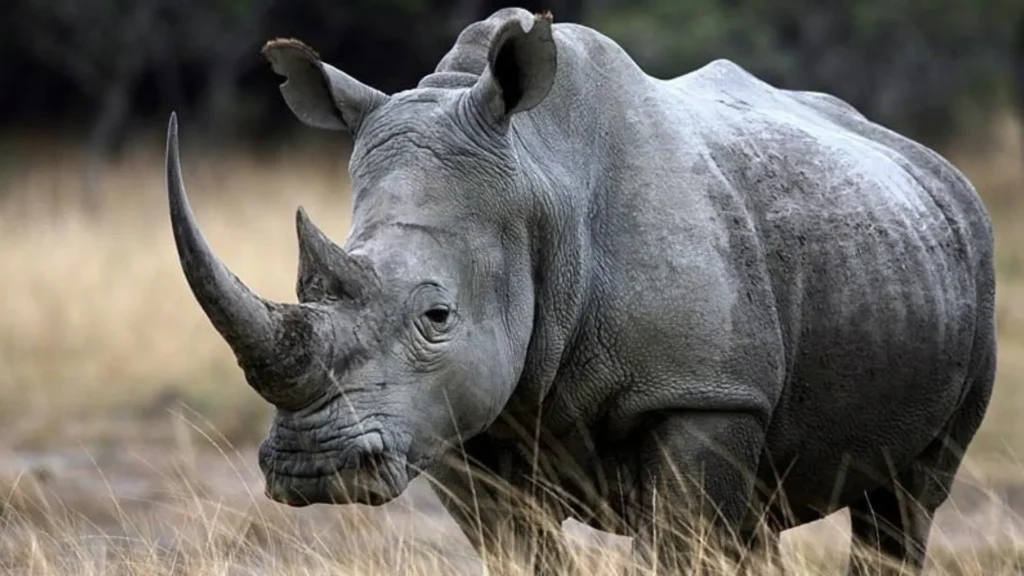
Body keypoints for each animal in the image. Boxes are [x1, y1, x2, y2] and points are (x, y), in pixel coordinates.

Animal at [165, 7, 997, 575]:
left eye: (437, 315)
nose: (312, 469)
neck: (540, 182)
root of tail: (926, 160)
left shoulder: (702, 391)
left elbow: (684, 542)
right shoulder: (451, 420)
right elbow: (521, 552)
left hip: (971, 265)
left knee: (904, 505)